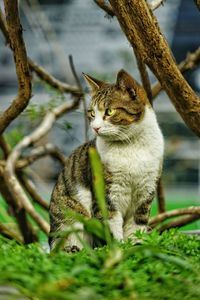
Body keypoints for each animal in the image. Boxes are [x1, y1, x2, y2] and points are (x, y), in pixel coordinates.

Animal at [48, 69, 164, 252]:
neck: (131, 146)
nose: (95, 127)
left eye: (109, 112)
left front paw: (135, 247)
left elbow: (137, 227)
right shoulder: (107, 193)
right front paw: (117, 250)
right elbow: (111, 225)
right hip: (70, 219)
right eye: (92, 113)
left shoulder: (145, 192)